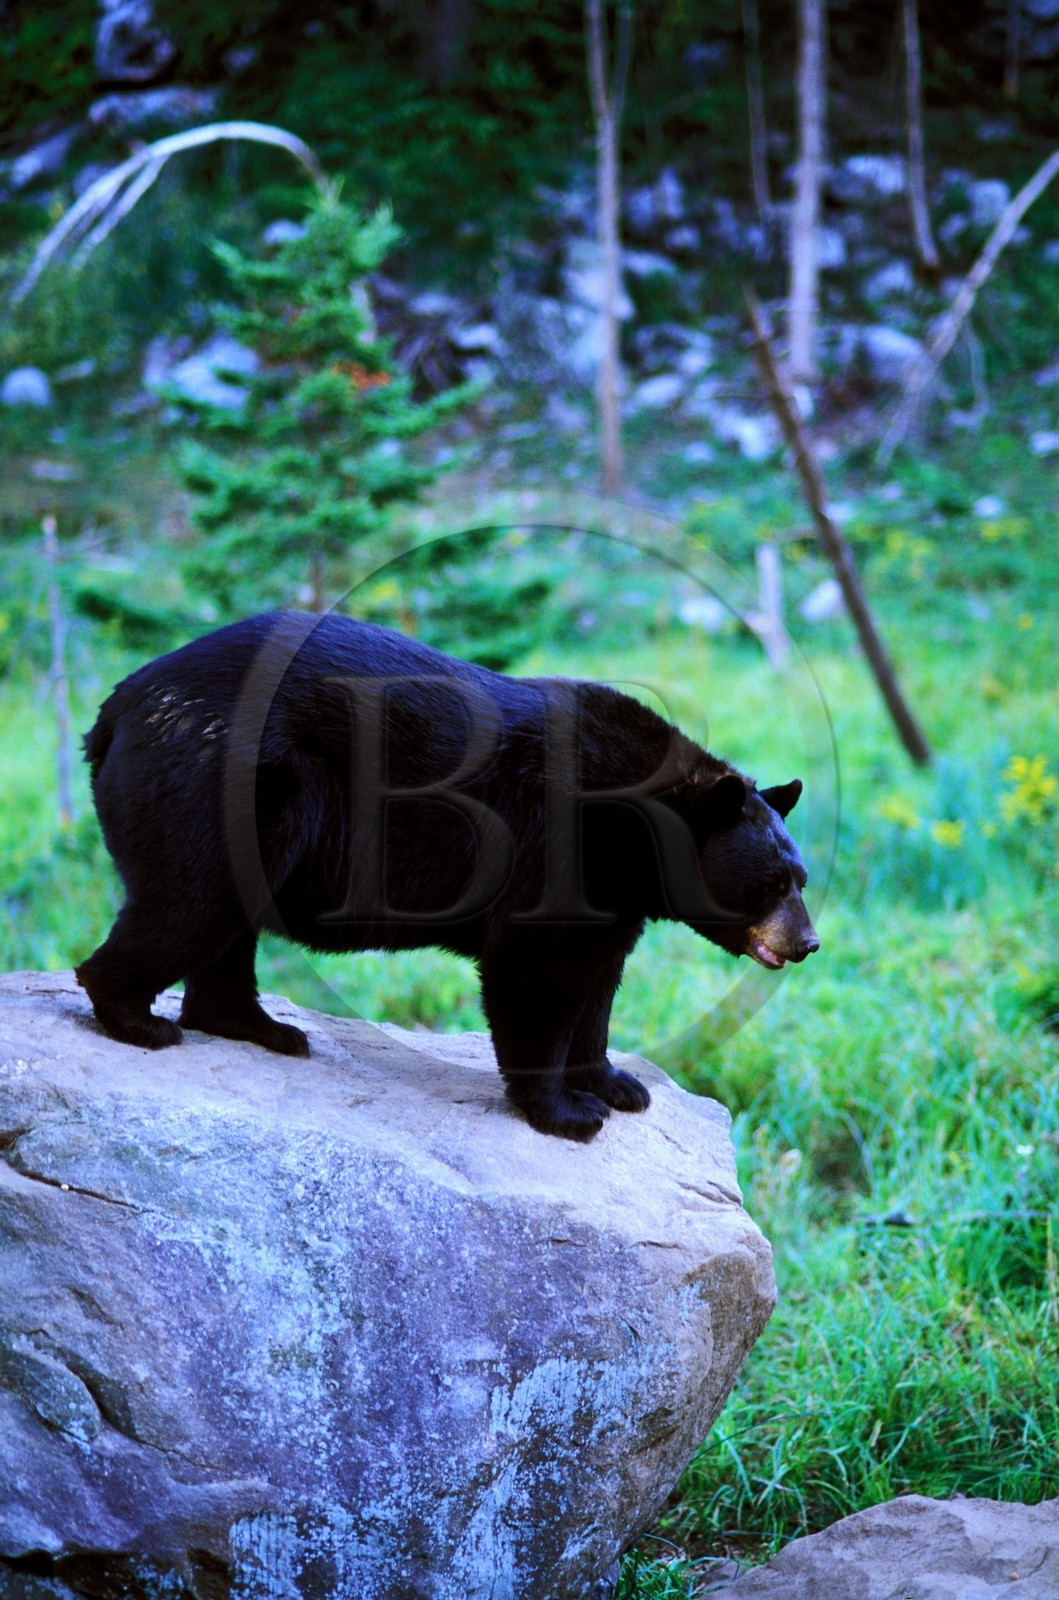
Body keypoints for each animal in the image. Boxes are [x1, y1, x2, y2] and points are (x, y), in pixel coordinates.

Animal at [75, 610, 819, 1142]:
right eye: (772, 883)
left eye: (801, 879)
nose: (808, 943)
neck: (633, 824)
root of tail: (112, 712)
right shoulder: (552, 844)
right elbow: (535, 969)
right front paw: (566, 1113)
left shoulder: (616, 895)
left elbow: (599, 981)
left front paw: (616, 1084)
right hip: (221, 782)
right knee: (191, 899)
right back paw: (137, 1019)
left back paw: (259, 1028)